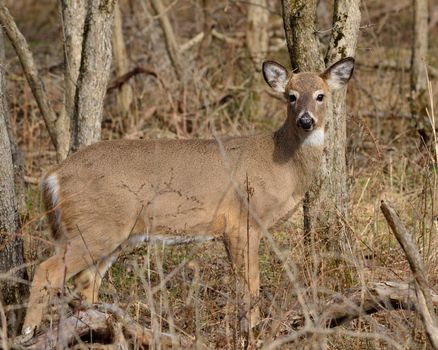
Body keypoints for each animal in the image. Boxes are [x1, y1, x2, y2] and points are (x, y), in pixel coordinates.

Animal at [22, 58, 354, 340]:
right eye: (291, 96)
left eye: (321, 95)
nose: (306, 121)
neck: (280, 162)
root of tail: (52, 176)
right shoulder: (244, 221)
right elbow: (250, 284)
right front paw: (252, 333)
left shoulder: (229, 230)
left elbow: (240, 284)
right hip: (94, 228)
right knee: (48, 270)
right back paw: (29, 332)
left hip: (110, 234)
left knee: (86, 281)